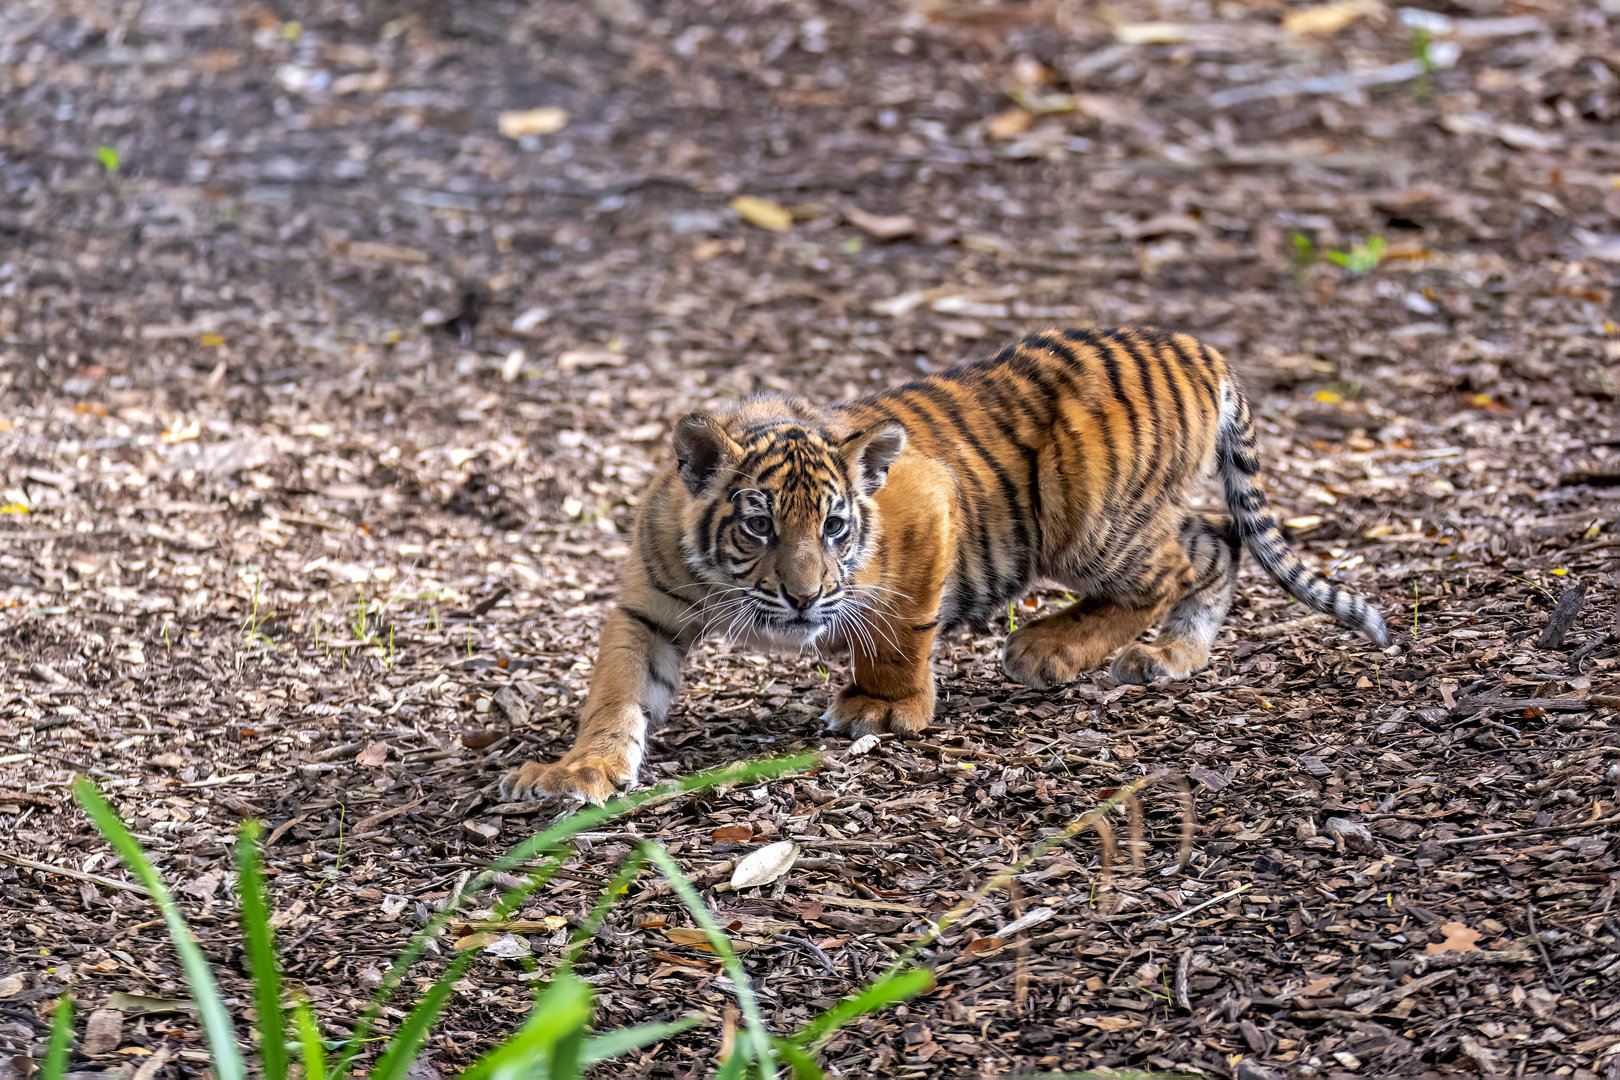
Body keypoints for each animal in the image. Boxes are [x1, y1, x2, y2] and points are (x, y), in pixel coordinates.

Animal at [500, 327, 1389, 804]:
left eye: (834, 527)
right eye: (757, 526)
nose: (803, 600)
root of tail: (1198, 347)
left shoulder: (925, 503)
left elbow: (899, 633)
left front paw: (882, 708)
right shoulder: (646, 607)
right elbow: (616, 694)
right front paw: (576, 771)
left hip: (1087, 522)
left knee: (1172, 564)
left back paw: (1049, 648)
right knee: (1217, 538)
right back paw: (1172, 654)